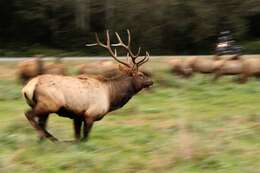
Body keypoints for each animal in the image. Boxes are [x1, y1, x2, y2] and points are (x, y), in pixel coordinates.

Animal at [22, 29, 153, 143]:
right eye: (141, 75)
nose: (151, 81)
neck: (111, 97)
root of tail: (28, 87)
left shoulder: (77, 116)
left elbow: (77, 137)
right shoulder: (90, 115)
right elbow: (85, 138)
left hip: (44, 108)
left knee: (41, 123)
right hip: (49, 104)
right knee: (29, 115)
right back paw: (54, 139)